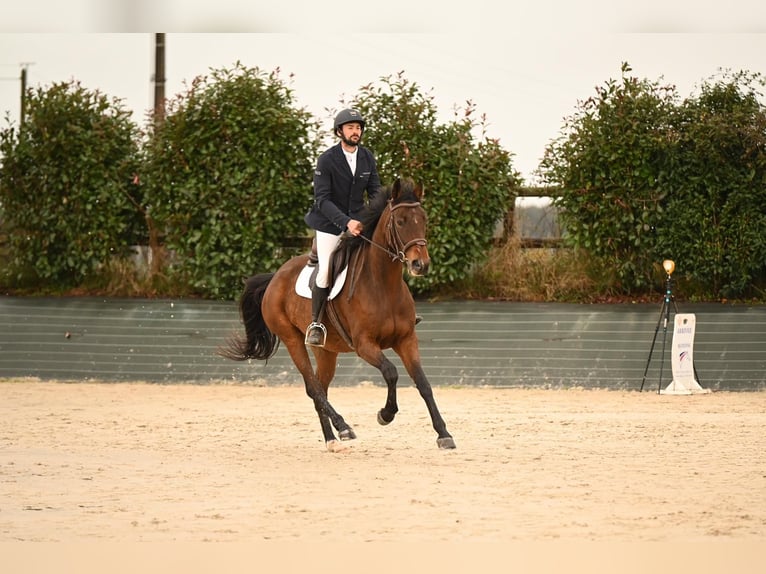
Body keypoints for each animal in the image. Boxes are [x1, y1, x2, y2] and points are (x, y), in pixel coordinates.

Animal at [219, 178, 456, 452]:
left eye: (423, 219)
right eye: (400, 221)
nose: (421, 265)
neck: (384, 285)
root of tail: (275, 276)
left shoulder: (406, 340)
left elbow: (424, 384)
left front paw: (443, 434)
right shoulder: (364, 345)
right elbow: (391, 373)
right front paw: (385, 415)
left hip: (325, 350)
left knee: (320, 388)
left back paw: (332, 439)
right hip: (292, 340)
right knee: (313, 387)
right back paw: (343, 428)